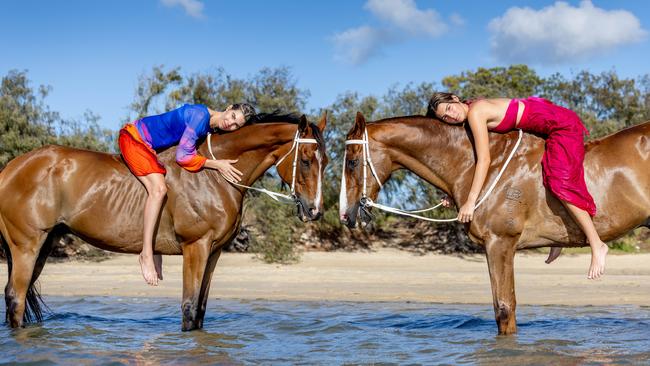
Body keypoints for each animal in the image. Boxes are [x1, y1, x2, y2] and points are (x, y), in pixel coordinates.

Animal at [0, 113, 324, 330]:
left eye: (328, 161)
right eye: (307, 159)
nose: (315, 211)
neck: (212, 176)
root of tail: (10, 169)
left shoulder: (214, 252)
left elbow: (201, 310)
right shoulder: (196, 247)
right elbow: (189, 308)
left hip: (45, 244)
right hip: (26, 246)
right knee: (16, 297)